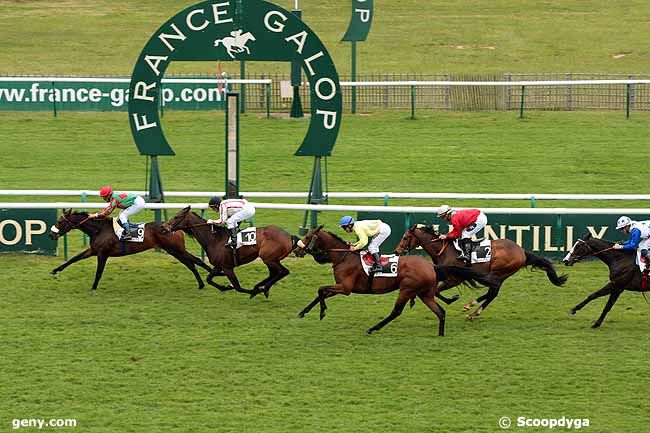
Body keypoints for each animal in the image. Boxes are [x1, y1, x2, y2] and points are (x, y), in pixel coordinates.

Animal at [48, 210, 210, 290]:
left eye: (60, 221)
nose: (51, 234)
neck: (99, 229)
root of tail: (175, 228)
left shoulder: (102, 254)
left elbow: (99, 272)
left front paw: (93, 287)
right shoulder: (93, 250)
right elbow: (73, 259)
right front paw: (55, 270)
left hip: (175, 250)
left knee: (195, 261)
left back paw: (208, 276)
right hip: (174, 251)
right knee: (191, 264)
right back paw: (202, 283)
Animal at [162, 206, 294, 296]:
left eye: (176, 217)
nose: (163, 227)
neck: (214, 239)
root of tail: (289, 236)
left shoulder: (227, 267)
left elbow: (238, 287)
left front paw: (253, 291)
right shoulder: (219, 266)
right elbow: (209, 279)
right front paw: (225, 287)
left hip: (269, 258)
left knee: (283, 271)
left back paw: (264, 288)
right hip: (269, 259)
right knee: (274, 273)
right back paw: (263, 286)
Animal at [290, 224, 496, 336]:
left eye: (307, 236)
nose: (297, 250)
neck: (343, 257)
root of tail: (432, 266)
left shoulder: (345, 287)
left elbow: (321, 289)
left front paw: (322, 312)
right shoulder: (342, 287)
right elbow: (321, 292)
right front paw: (303, 312)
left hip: (406, 290)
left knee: (396, 311)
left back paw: (372, 329)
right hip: (424, 293)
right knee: (440, 311)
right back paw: (440, 333)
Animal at [392, 224, 564, 318]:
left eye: (405, 238)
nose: (396, 251)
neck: (444, 251)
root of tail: (521, 251)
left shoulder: (454, 279)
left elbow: (437, 292)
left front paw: (452, 299)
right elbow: (432, 290)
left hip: (498, 273)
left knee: (493, 292)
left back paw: (472, 310)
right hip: (497, 276)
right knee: (491, 293)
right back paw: (472, 308)